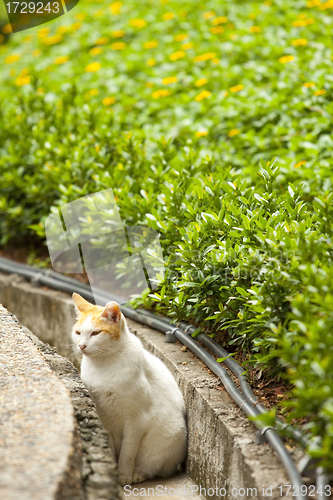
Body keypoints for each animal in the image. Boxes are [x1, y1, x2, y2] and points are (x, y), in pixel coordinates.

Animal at [70, 292, 187, 484]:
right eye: (78, 332)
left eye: (95, 333)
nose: (81, 346)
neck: (103, 365)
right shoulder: (104, 416)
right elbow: (109, 445)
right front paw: (111, 466)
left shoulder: (136, 420)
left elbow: (128, 452)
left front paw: (123, 475)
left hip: (168, 439)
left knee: (154, 467)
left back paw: (138, 473)